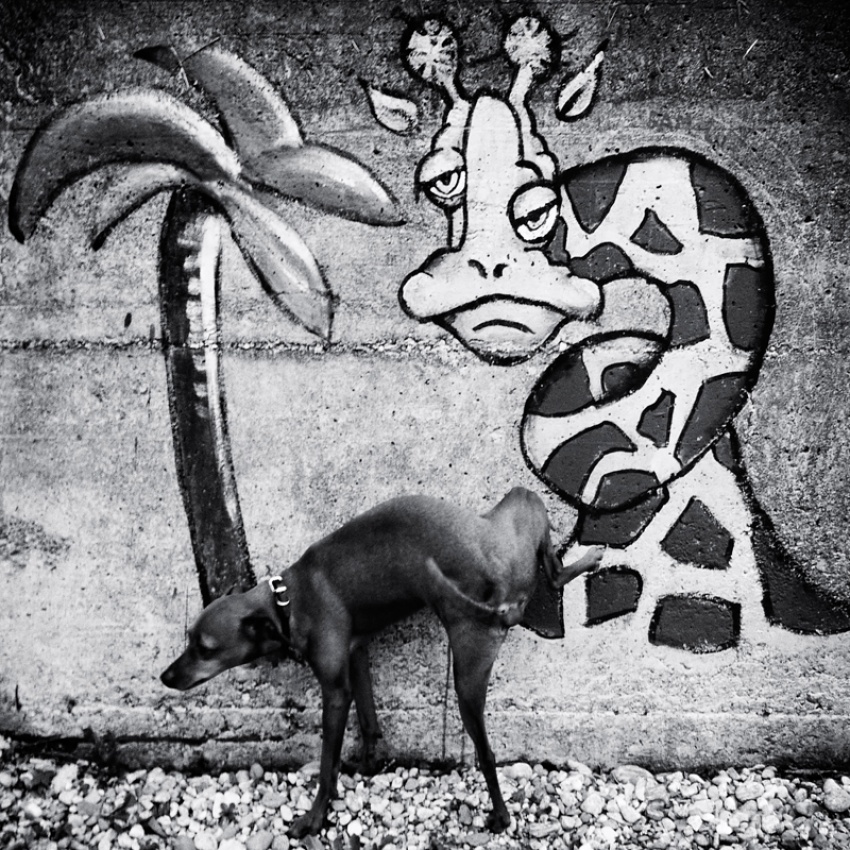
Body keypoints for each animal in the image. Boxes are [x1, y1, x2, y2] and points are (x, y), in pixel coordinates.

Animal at [160, 487, 603, 837]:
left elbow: (327, 761)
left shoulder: (335, 692)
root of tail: (506, 602)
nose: (165, 676)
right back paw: (588, 558)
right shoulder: (356, 656)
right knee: (554, 568)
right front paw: (368, 763)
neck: (287, 601)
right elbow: (370, 720)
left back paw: (500, 816)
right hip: (523, 505)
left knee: (488, 754)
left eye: (206, 648)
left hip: (467, 678)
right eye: (189, 640)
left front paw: (316, 817)